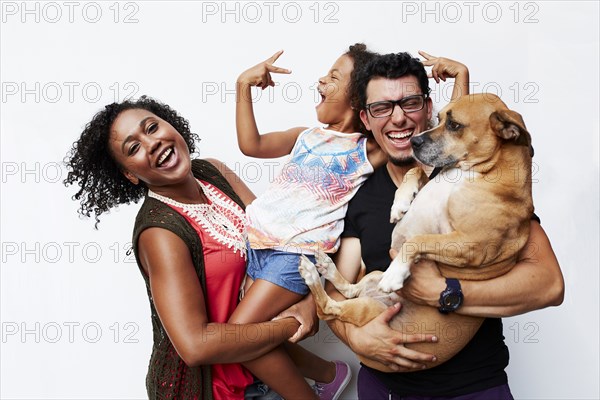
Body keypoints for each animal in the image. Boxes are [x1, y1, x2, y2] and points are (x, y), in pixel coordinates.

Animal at [300, 94, 536, 372]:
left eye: (454, 125)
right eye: (441, 117)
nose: (413, 141)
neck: (471, 173)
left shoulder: (470, 245)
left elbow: (417, 240)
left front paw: (396, 273)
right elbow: (416, 171)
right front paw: (400, 203)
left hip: (368, 308)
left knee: (328, 308)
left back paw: (314, 274)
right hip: (371, 280)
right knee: (348, 291)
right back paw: (325, 267)